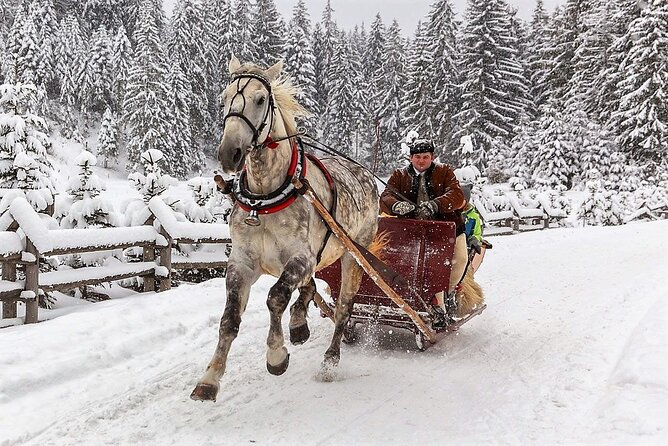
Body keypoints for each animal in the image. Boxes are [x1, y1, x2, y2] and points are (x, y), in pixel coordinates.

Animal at [192, 55, 380, 400]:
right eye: (224, 98)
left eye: (260, 99)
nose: (229, 153)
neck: (264, 198)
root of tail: (364, 173)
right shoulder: (242, 263)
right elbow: (229, 318)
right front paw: (209, 379)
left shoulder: (300, 258)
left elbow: (276, 297)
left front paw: (276, 354)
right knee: (310, 288)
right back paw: (299, 322)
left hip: (353, 255)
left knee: (344, 307)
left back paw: (330, 359)